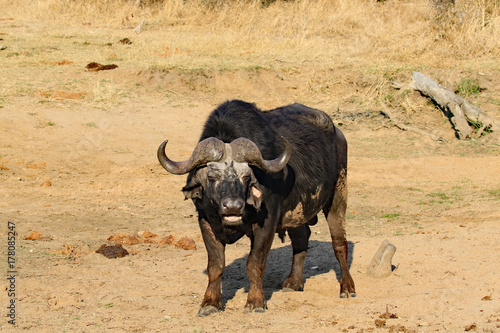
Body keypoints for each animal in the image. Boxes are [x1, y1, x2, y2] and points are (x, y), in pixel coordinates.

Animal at [156, 99, 356, 314]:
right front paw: (210, 303)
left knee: (339, 243)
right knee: (301, 239)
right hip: (297, 213)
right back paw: (293, 282)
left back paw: (347, 288)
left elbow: (255, 263)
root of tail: (337, 133)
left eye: (246, 176)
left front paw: (255, 302)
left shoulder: (266, 223)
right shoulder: (206, 221)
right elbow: (215, 266)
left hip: (339, 193)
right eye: (212, 177)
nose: (233, 207)